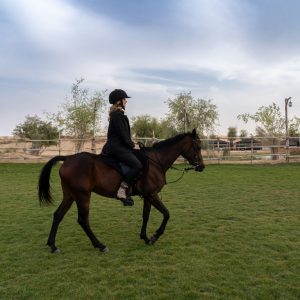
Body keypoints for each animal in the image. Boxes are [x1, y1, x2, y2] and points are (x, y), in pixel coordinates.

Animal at [38, 127, 204, 252]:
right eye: (198, 146)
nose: (201, 166)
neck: (155, 161)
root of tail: (68, 158)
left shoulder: (148, 196)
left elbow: (146, 216)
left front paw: (145, 237)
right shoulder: (152, 194)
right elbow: (167, 214)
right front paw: (155, 236)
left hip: (70, 195)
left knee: (58, 215)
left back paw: (53, 245)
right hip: (82, 196)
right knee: (83, 220)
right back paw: (100, 245)